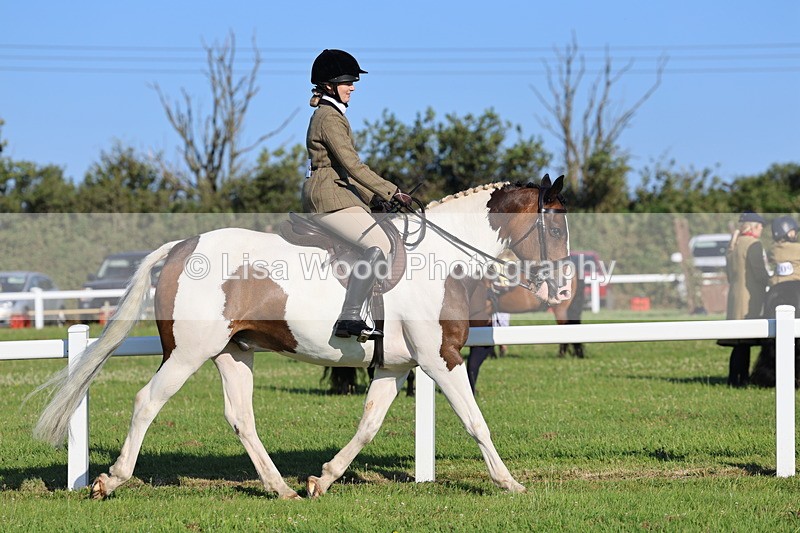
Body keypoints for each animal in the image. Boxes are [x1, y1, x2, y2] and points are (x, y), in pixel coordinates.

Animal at [32, 176, 571, 499]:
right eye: (556, 228)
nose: (563, 289)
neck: (441, 260)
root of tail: (183, 245)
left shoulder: (396, 367)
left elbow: (368, 426)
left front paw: (322, 479)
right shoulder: (441, 359)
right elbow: (476, 422)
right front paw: (510, 483)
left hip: (233, 353)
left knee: (241, 417)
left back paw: (281, 489)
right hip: (187, 352)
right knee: (148, 401)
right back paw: (110, 481)